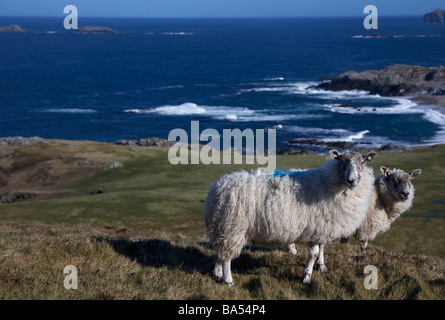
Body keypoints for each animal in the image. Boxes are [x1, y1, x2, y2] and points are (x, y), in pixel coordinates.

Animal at [204, 148, 374, 284]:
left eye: (361, 163)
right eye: (342, 162)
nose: (351, 180)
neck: (328, 182)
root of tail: (217, 187)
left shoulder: (323, 227)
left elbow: (322, 248)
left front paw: (322, 266)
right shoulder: (313, 228)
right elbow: (314, 253)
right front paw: (307, 277)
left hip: (222, 228)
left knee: (220, 253)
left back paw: (217, 274)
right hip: (233, 227)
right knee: (226, 257)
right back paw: (228, 280)